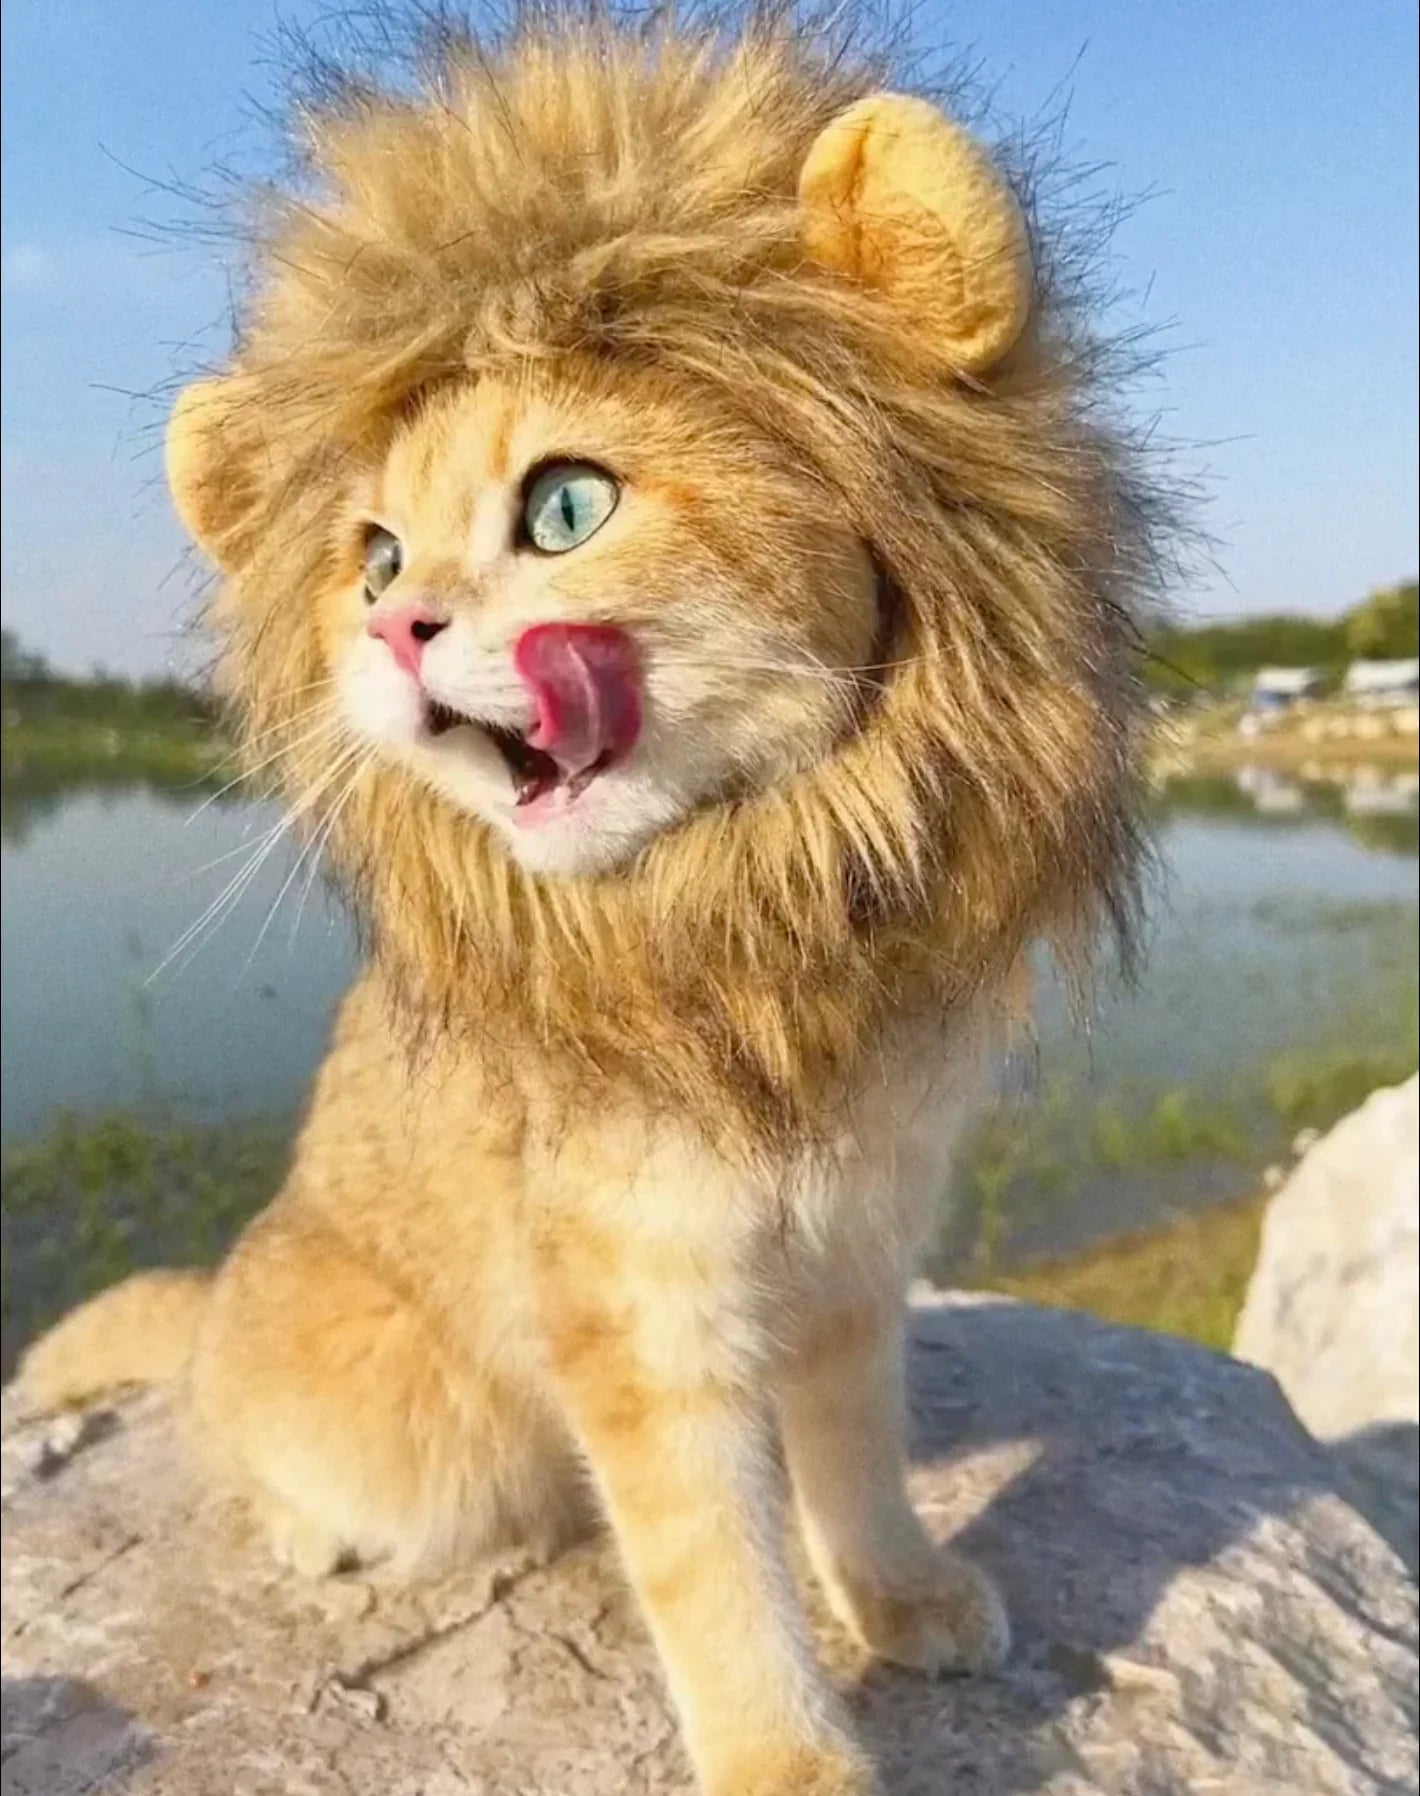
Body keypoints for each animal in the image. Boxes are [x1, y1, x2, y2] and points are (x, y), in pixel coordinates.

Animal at [19, 9, 1165, 1792]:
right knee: (247, 1441)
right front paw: (790, 1761)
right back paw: (312, 1532)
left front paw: (907, 1600)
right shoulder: (636, 1313)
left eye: (566, 506)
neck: (753, 945)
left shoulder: (864, 1246)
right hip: (411, 1438)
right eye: (370, 556)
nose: (391, 628)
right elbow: (712, 1568)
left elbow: (860, 1462)